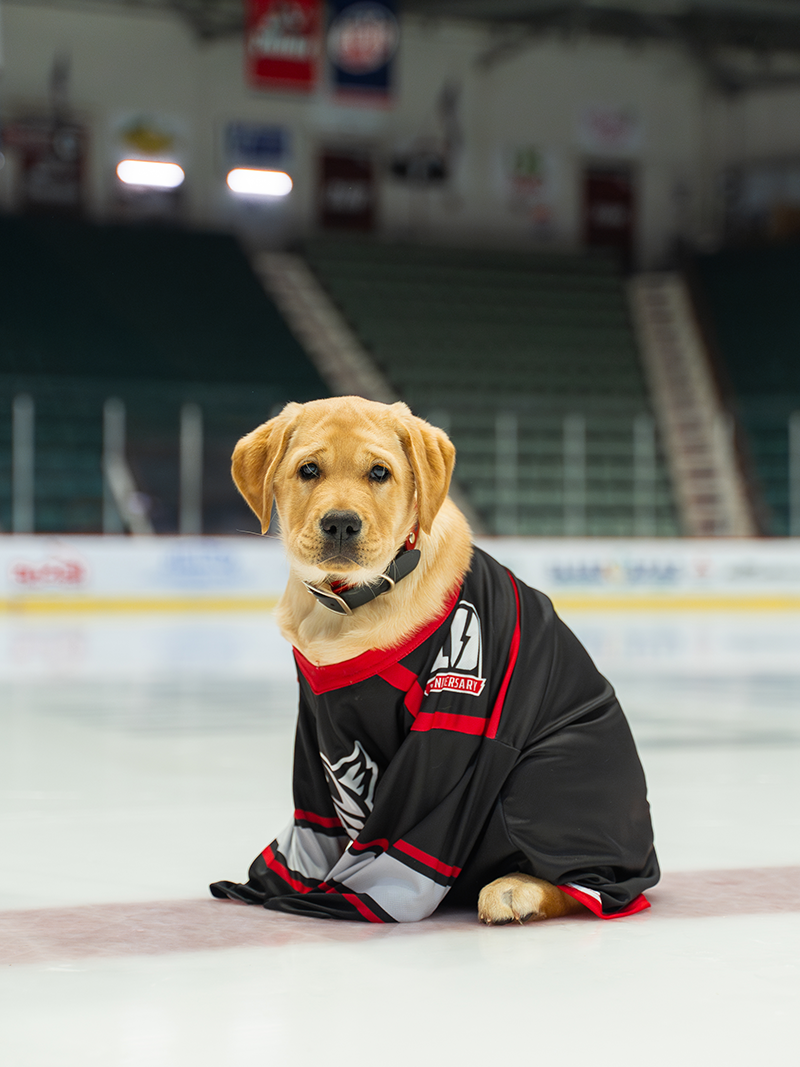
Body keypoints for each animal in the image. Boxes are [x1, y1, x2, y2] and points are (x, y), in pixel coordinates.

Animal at [210, 399, 661, 926]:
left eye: (379, 472)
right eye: (309, 470)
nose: (341, 523)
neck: (351, 605)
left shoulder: (449, 720)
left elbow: (401, 830)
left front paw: (341, 894)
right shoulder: (319, 728)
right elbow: (322, 815)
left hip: (545, 777)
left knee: (593, 886)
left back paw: (516, 889)